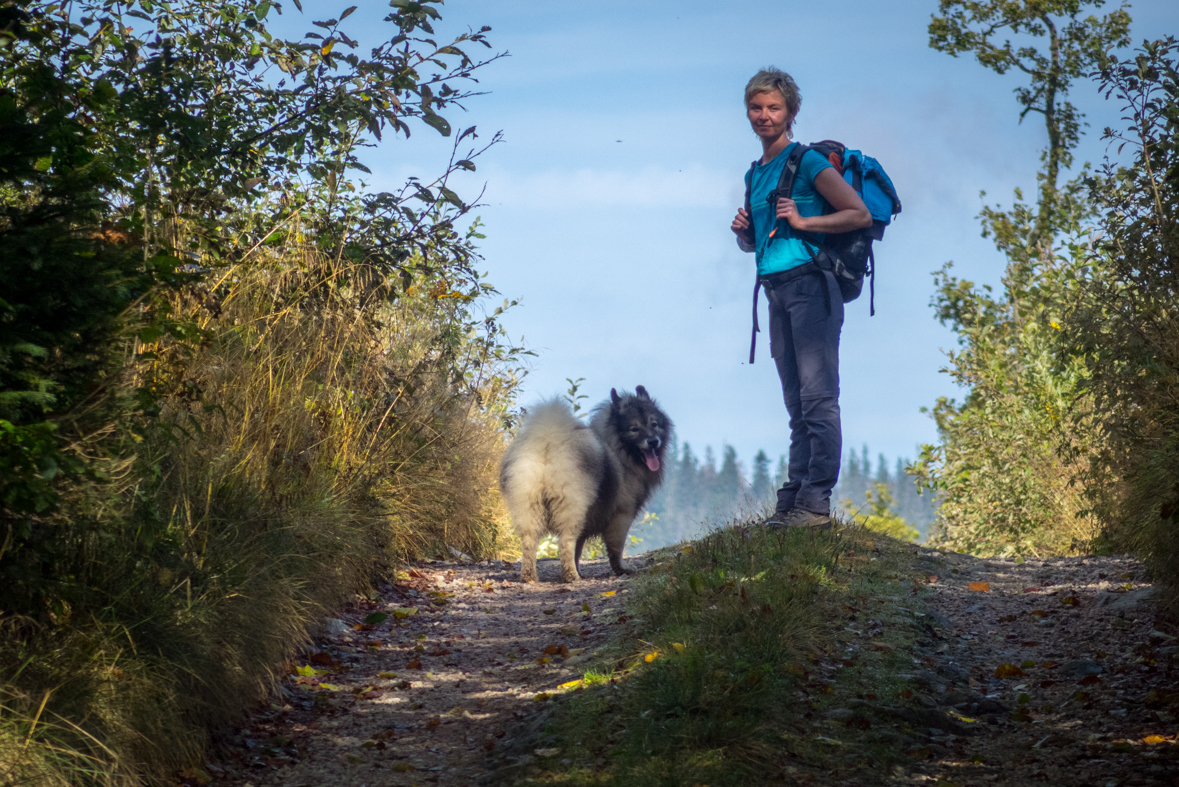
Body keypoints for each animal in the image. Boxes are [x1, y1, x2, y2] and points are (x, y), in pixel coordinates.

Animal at [495, 386, 674, 584]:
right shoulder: (621, 515)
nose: (653, 441)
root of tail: (547, 443)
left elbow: (578, 549)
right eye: (634, 429)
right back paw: (571, 576)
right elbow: (615, 548)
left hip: (528, 506)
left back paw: (530, 576)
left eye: (654, 424)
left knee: (529, 541)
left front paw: (579, 568)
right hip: (571, 507)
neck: (619, 451)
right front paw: (621, 568)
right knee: (565, 541)